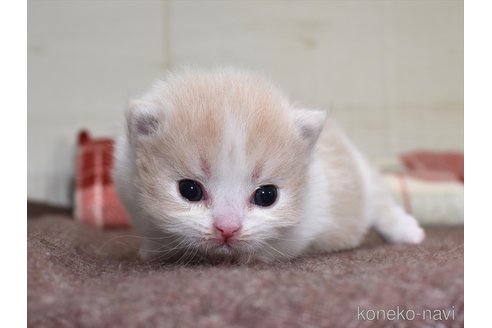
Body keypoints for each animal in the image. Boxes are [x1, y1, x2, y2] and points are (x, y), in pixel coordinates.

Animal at [112, 67, 422, 264]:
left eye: (267, 196)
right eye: (189, 190)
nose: (228, 229)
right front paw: (154, 251)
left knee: (380, 203)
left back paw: (408, 231)